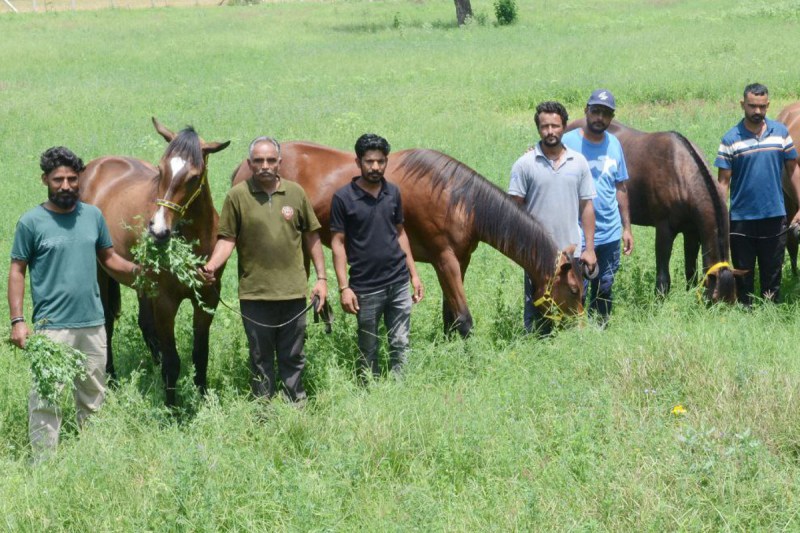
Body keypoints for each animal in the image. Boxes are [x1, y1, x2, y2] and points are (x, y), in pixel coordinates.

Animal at [80, 118, 230, 406]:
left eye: (194, 176)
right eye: (161, 169)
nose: (159, 231)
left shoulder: (207, 299)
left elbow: (200, 355)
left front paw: (203, 399)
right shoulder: (165, 301)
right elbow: (173, 361)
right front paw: (171, 408)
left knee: (145, 325)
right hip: (101, 274)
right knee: (107, 323)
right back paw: (111, 378)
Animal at [230, 144, 586, 337]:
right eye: (573, 290)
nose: (581, 329)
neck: (459, 198)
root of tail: (242, 168)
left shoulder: (459, 260)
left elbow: (450, 316)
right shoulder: (445, 258)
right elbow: (464, 319)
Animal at [567, 119, 737, 303]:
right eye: (714, 299)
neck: (680, 172)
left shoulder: (691, 232)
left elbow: (691, 272)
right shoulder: (664, 229)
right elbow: (663, 276)